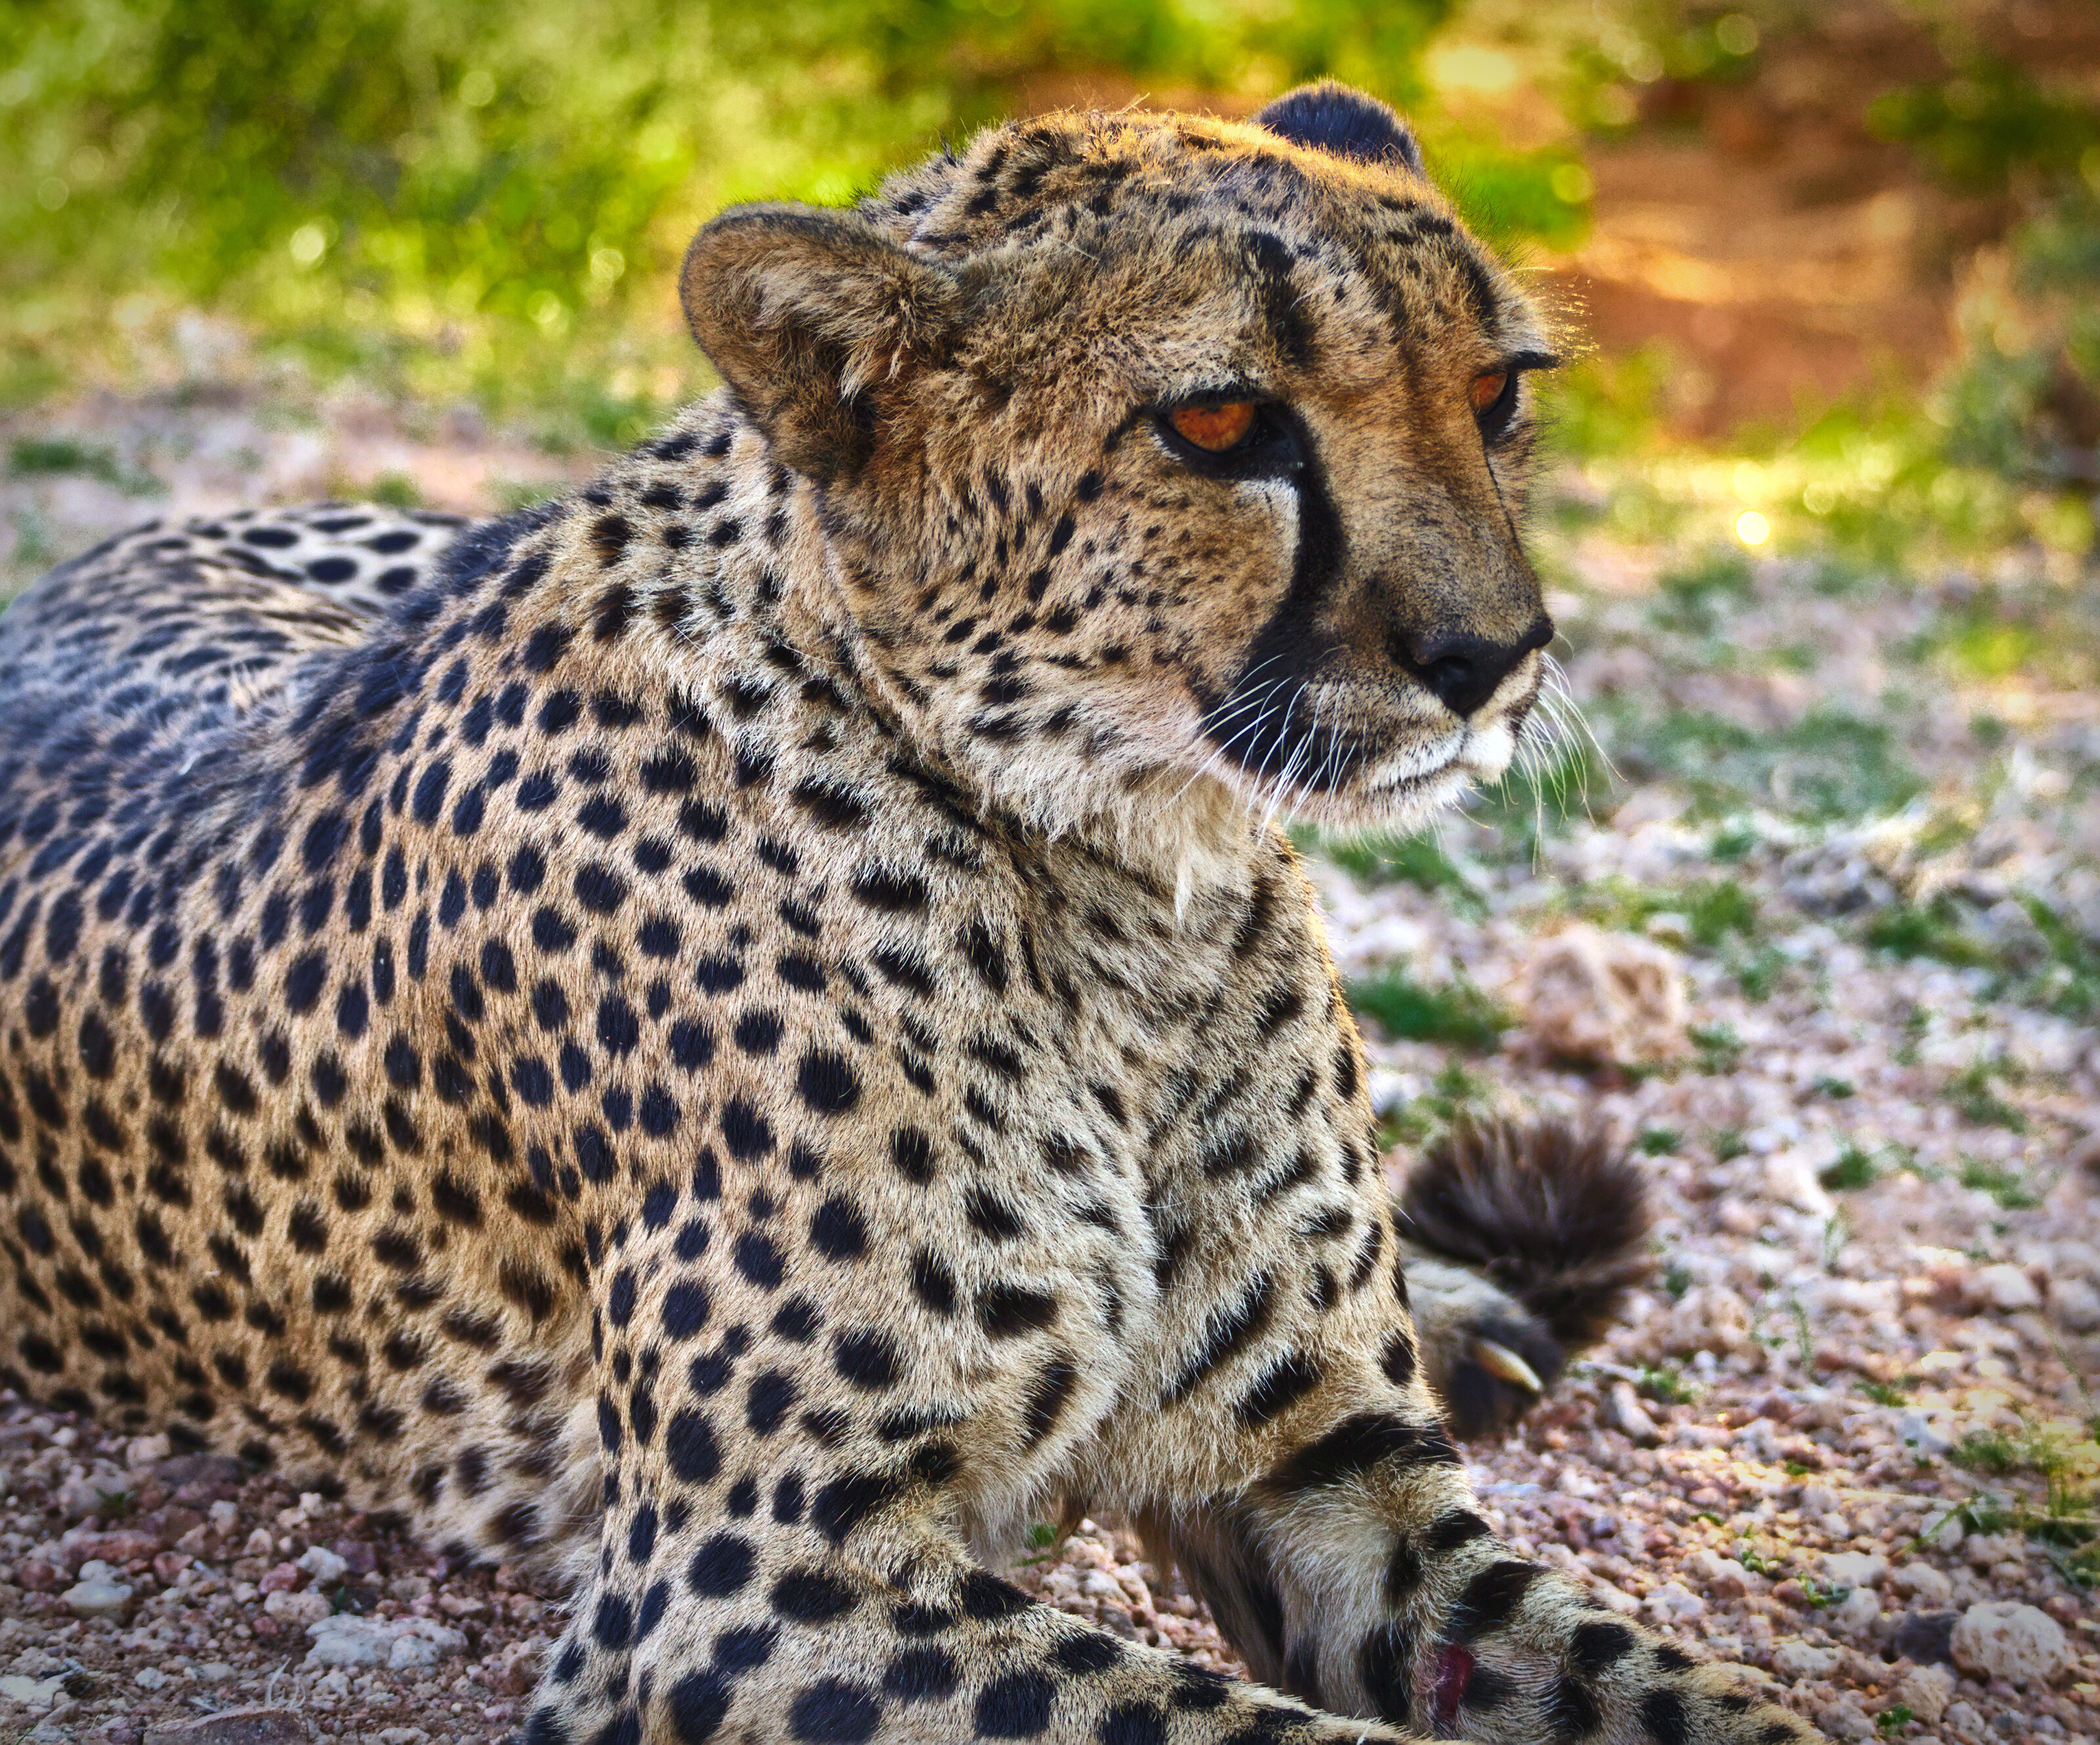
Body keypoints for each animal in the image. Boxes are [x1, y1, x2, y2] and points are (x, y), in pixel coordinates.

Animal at [0, 81, 1819, 1745]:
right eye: (1220, 426)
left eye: (1495, 392)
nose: (1494, 656)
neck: (1123, 874)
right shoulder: (745, 1576)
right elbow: (1227, 1724)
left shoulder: (1340, 1476)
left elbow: (1669, 1683)